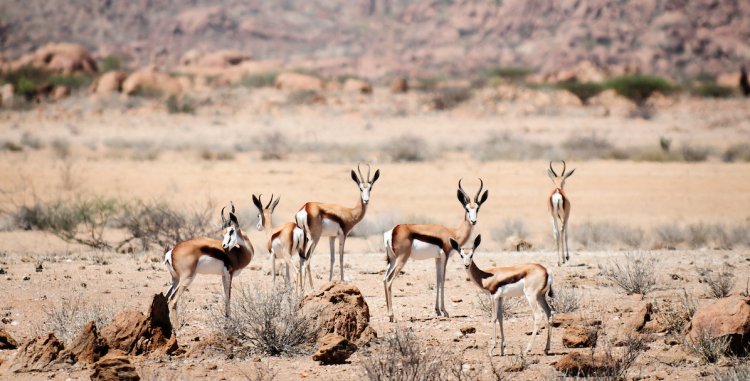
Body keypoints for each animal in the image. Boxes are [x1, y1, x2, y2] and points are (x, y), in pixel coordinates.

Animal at [384, 178, 490, 320]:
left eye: (477, 208)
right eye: (467, 209)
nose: (473, 221)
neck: (453, 232)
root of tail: (393, 231)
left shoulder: (437, 258)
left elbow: (438, 280)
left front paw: (437, 310)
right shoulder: (445, 255)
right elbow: (443, 280)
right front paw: (445, 311)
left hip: (392, 260)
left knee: (384, 279)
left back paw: (389, 314)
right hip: (401, 259)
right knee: (389, 280)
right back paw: (392, 316)